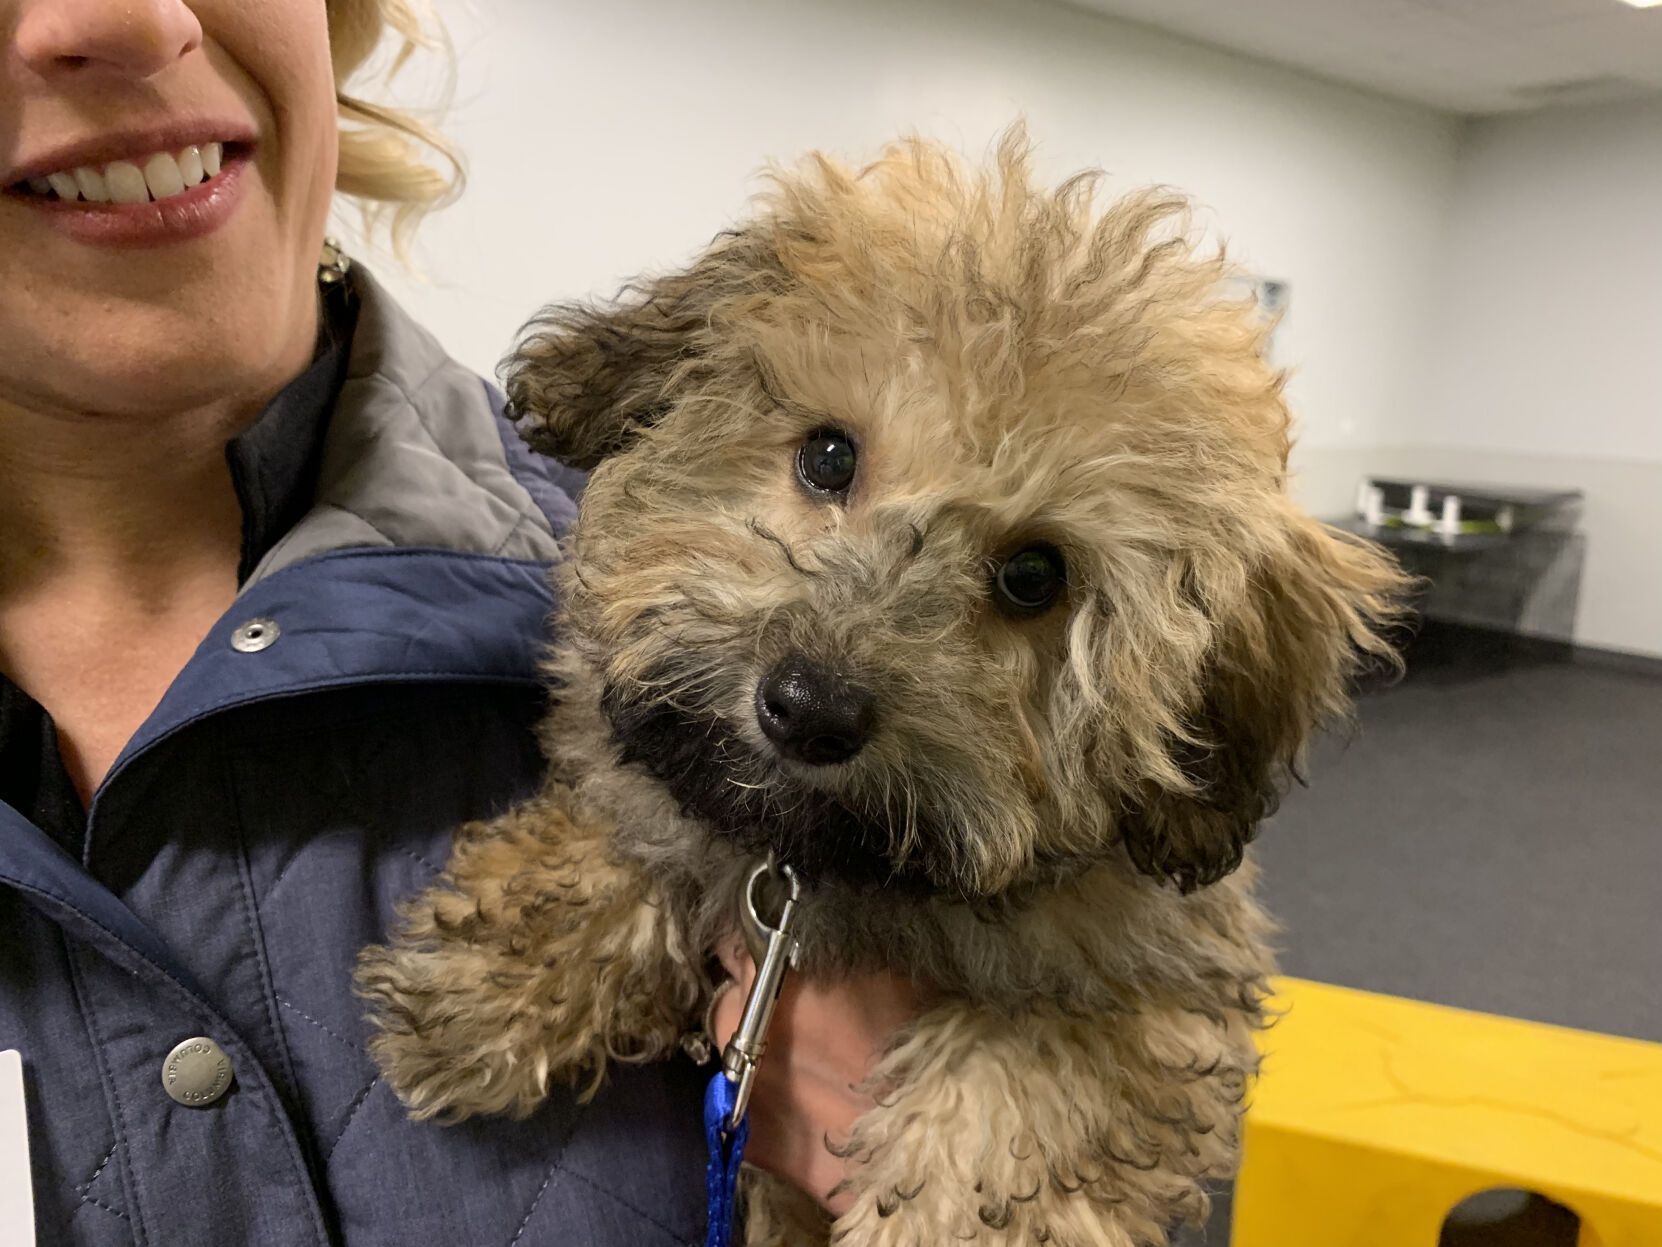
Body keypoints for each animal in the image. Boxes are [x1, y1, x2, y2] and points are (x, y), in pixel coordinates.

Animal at [357, 132, 1409, 1243]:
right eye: (828, 454)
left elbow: (1021, 1082)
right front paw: (488, 980)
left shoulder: (1159, 988)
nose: (809, 708)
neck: (826, 867)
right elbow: (634, 829)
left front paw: (953, 1212)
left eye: (1034, 575)